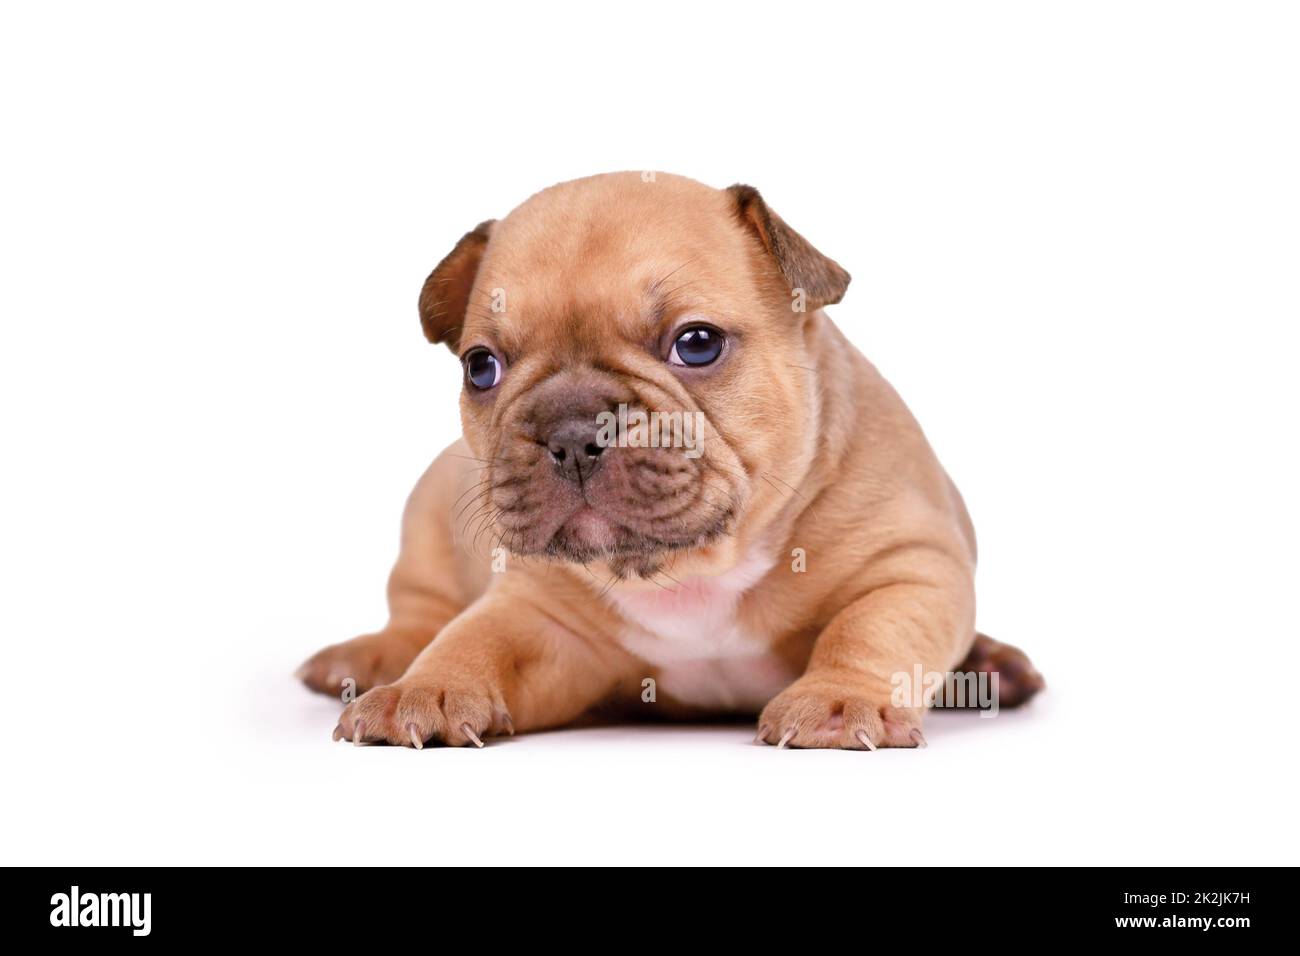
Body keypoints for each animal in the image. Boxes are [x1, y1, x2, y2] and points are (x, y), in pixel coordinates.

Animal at [299, 175, 1040, 749]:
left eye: (697, 343)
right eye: (481, 367)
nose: (572, 432)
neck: (695, 569)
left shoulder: (909, 566)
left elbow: (870, 628)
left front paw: (838, 699)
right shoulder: (538, 615)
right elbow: (472, 637)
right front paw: (422, 688)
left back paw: (992, 666)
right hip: (424, 522)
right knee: (418, 612)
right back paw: (371, 658)